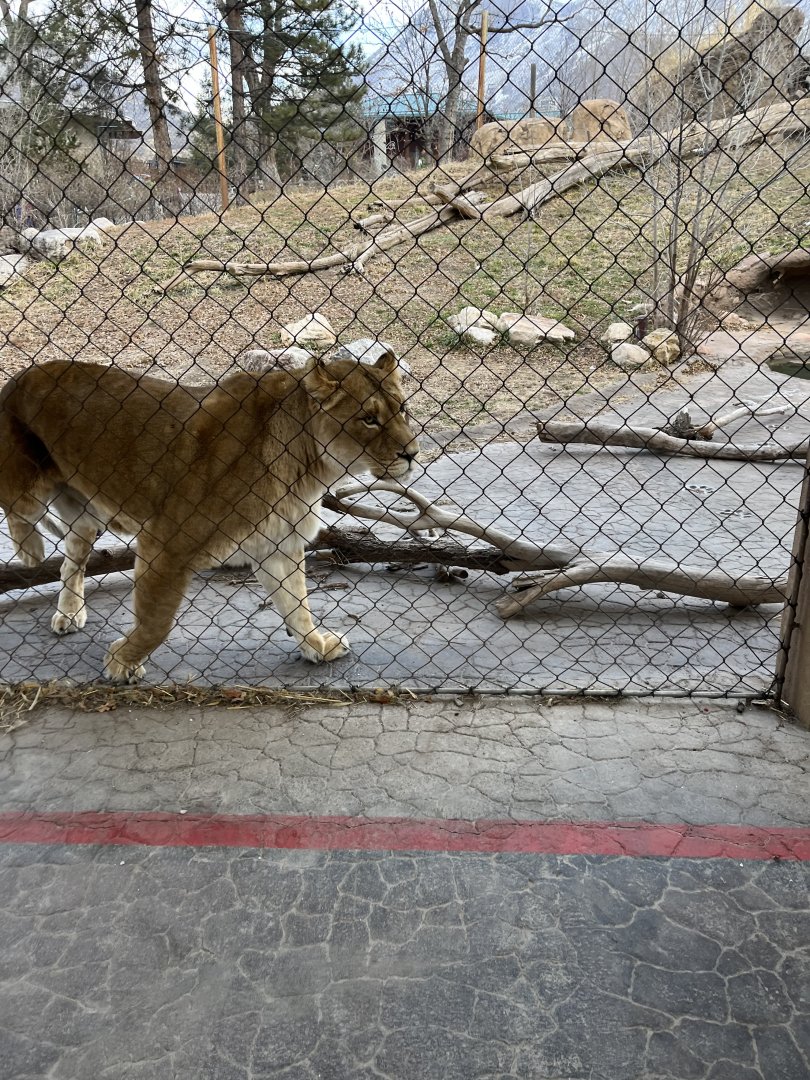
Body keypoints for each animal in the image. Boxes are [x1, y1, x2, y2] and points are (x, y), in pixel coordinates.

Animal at [0, 353, 419, 682]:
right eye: (368, 419)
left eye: (402, 409)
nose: (412, 454)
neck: (310, 465)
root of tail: (21, 376)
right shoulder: (166, 545)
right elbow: (156, 622)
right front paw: (121, 662)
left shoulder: (276, 545)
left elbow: (298, 605)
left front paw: (317, 645)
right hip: (27, 490)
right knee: (18, 512)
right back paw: (30, 549)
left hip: (87, 516)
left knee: (70, 559)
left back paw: (69, 612)